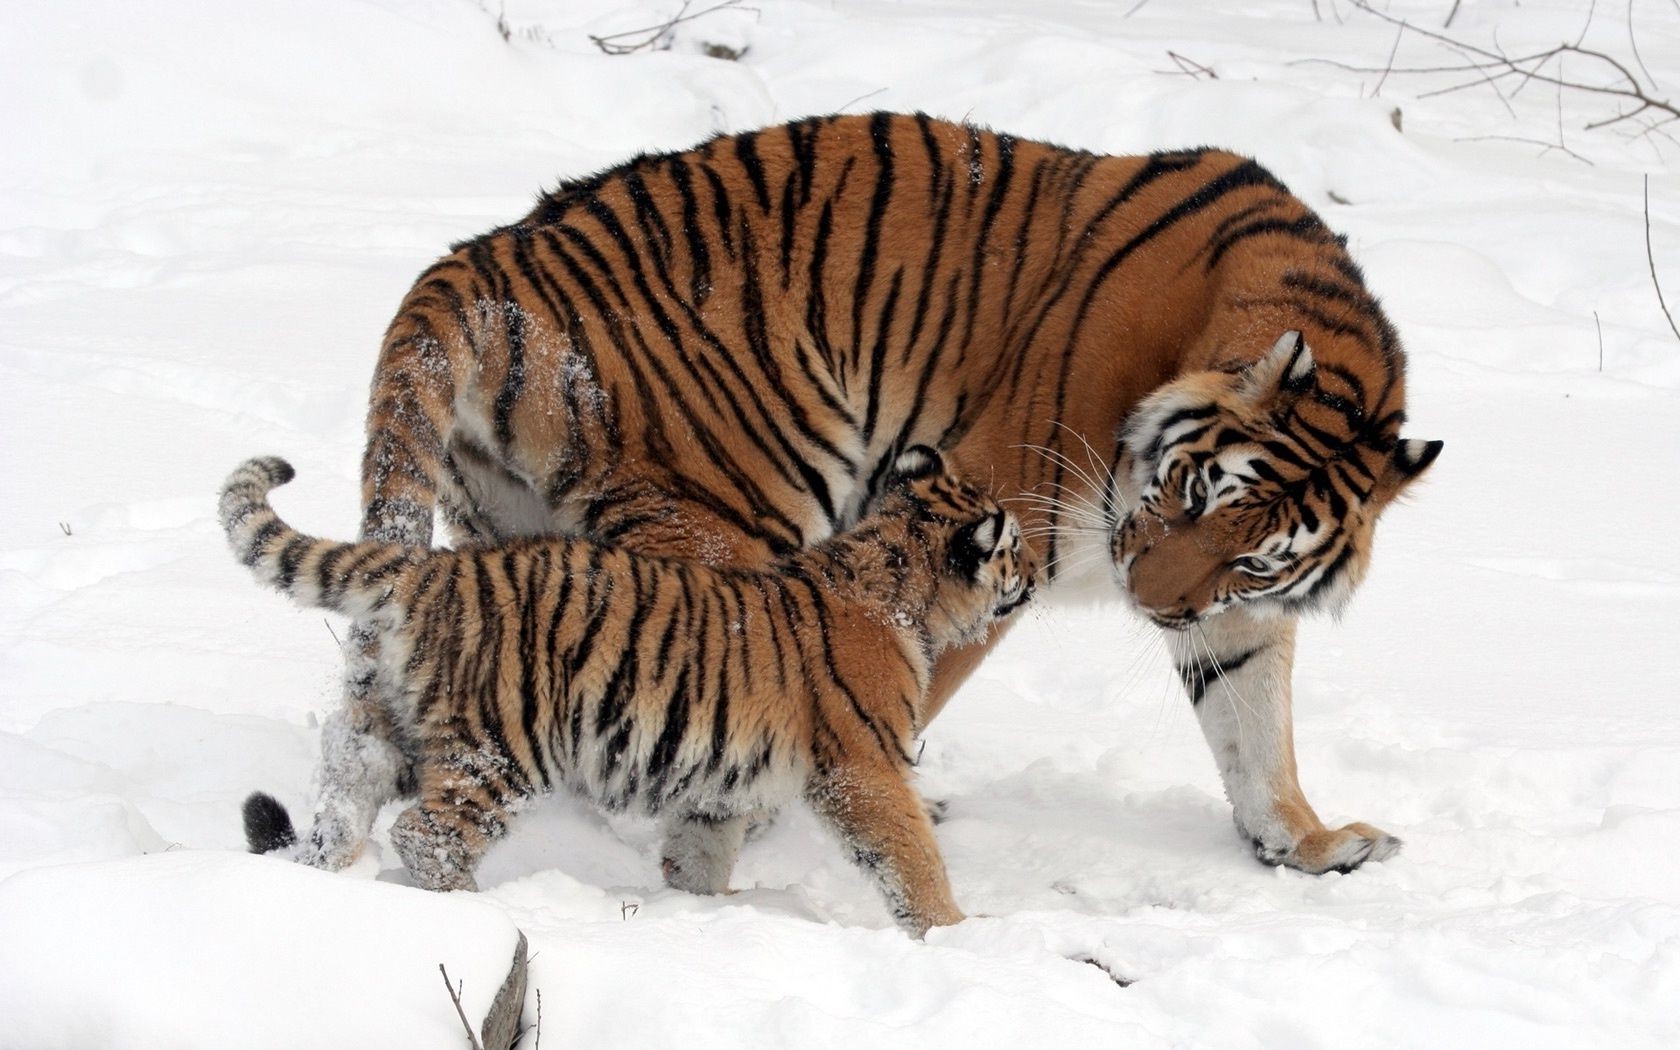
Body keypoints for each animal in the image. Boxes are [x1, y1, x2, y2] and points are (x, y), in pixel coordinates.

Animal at [299, 110, 1431, 887]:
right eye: (1193, 490)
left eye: (1256, 554)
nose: (1150, 605)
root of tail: (482, 257)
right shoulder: (993, 516)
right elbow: (900, 687)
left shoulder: (1229, 610)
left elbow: (1254, 722)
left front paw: (1308, 844)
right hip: (730, 511)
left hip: (511, 531)